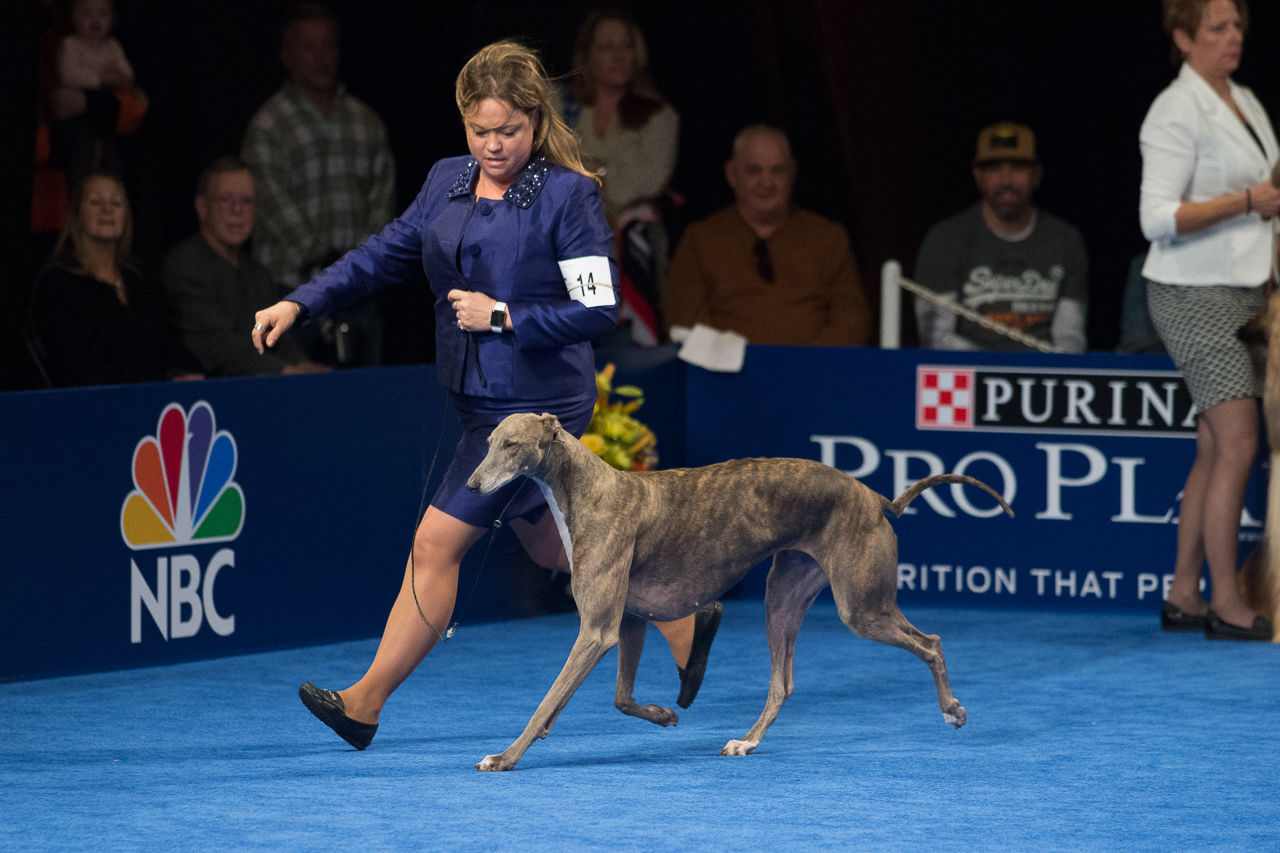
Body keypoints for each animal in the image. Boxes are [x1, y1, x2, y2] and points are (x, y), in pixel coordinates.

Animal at [465, 409, 1013, 768]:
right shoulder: (628, 621)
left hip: (861, 606)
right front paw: (664, 715)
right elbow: (619, 698)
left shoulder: (597, 630)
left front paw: (505, 757)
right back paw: (747, 742)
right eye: (488, 442)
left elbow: (546, 701)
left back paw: (952, 710)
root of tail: (877, 497)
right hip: (785, 596)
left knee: (931, 642)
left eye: (511, 445)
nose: (470, 487)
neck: (588, 489)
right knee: (783, 682)